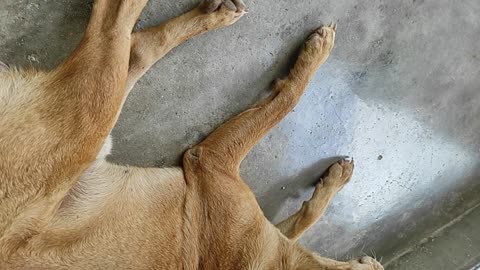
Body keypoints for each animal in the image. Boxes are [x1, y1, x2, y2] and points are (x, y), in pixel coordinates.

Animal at [0, 0, 382, 268]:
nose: (376, 262)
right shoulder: (214, 162)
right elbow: (287, 100)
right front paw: (316, 56)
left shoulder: (213, 165)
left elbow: (299, 221)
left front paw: (333, 180)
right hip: (90, 117)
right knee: (118, 31)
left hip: (89, 114)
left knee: (128, 41)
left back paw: (210, 17)